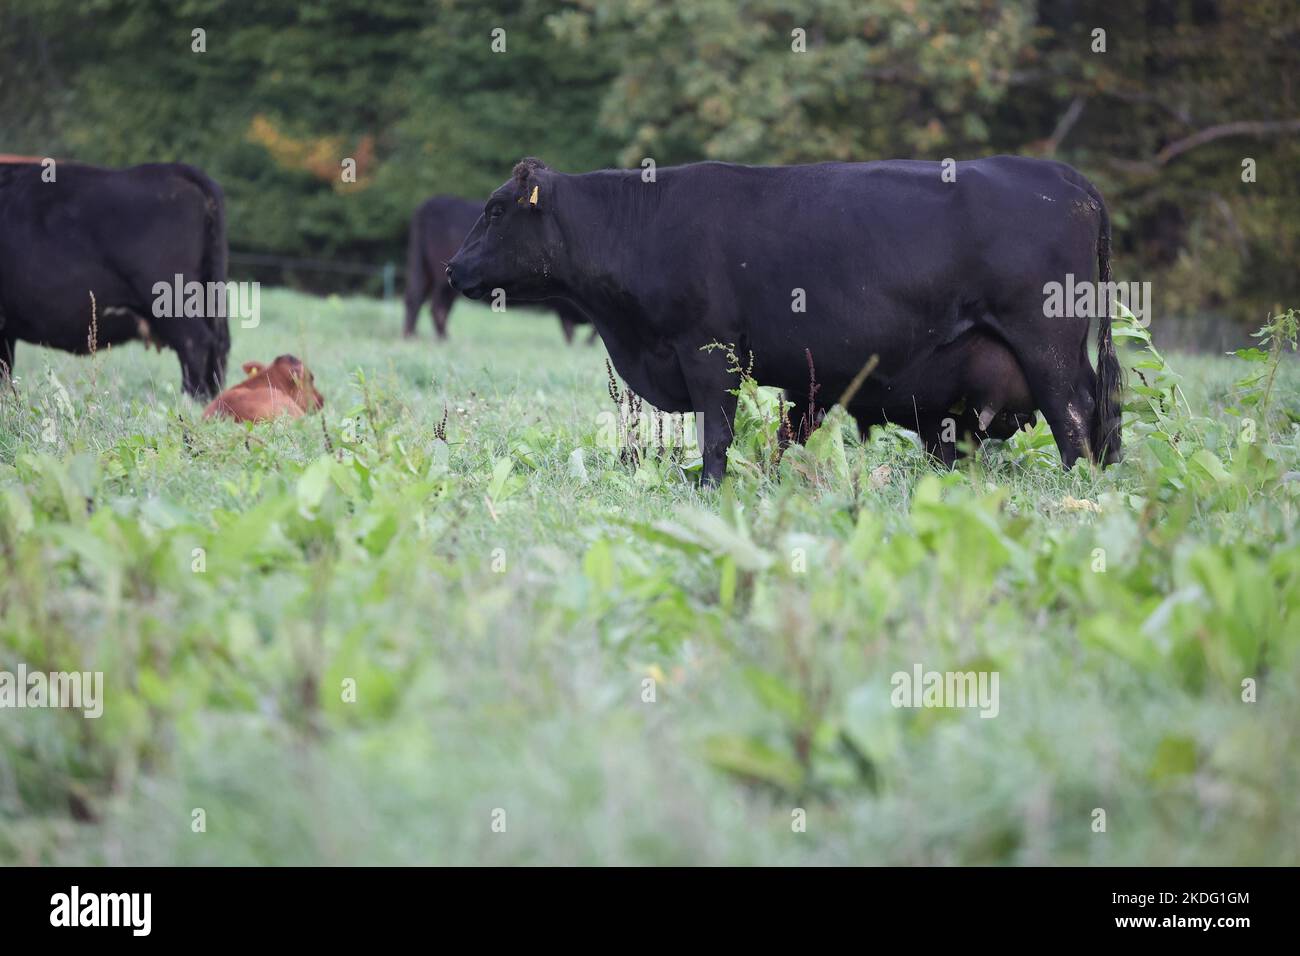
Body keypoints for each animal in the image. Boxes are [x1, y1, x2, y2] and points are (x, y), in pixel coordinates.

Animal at [404, 194, 595, 343]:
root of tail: (428, 205)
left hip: (426, 270)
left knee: (416, 298)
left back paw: (412, 336)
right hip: (442, 279)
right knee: (436, 307)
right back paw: (442, 339)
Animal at [448, 156, 1123, 484]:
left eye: (496, 209)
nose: (453, 268)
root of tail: (1063, 176)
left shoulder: (707, 350)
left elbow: (716, 434)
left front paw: (709, 489)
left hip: (1047, 346)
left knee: (1074, 420)